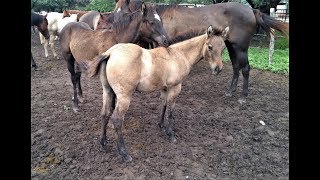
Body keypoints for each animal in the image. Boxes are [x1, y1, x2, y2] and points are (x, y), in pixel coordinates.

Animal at [86, 25, 229, 163]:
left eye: (223, 47)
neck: (178, 55)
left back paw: (103, 144)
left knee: (105, 114)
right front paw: (171, 134)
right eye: (210, 47)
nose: (218, 69)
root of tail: (110, 53)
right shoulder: (175, 88)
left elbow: (163, 105)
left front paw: (161, 125)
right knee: (117, 119)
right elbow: (170, 111)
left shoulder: (165, 88)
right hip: (124, 97)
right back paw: (124, 154)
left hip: (107, 91)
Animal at [115, 0, 290, 104]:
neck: (161, 20)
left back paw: (243, 96)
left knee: (245, 68)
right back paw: (230, 91)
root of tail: (252, 10)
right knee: (236, 67)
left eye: (122, 8)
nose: (113, 23)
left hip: (241, 48)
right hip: (231, 47)